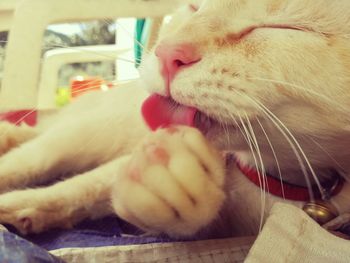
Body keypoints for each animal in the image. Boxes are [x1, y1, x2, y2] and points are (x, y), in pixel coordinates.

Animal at [0, 0, 350, 240]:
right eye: (194, 7)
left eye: (285, 28)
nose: (168, 53)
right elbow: (84, 186)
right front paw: (25, 203)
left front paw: (174, 184)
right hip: (87, 132)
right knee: (33, 153)